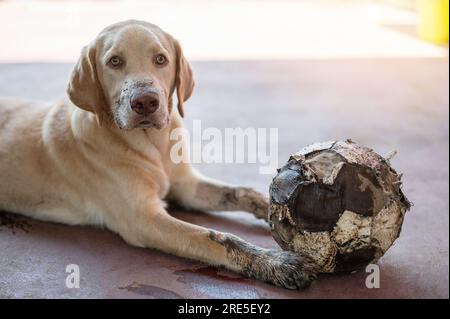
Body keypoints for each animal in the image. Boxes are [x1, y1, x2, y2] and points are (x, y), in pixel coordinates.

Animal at [0, 19, 316, 290]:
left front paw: (278, 212)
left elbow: (243, 192)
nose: (145, 102)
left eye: (161, 59)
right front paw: (275, 262)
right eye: (114, 61)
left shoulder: (186, 186)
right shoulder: (144, 219)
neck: (154, 146)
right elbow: (215, 237)